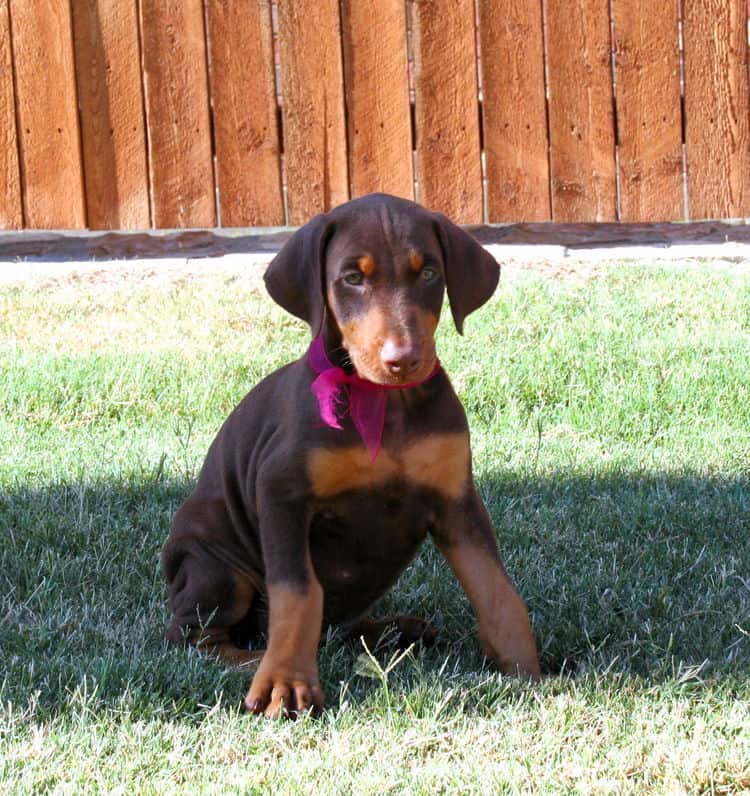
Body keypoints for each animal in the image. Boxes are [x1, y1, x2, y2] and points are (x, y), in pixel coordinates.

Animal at [163, 194, 540, 720]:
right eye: (352, 279)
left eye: (429, 273)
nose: (403, 359)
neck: (383, 403)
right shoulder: (280, 493)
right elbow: (299, 593)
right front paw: (286, 681)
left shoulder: (456, 501)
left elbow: (495, 587)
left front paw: (526, 667)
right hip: (214, 565)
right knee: (194, 634)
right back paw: (256, 658)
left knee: (338, 628)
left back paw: (392, 630)